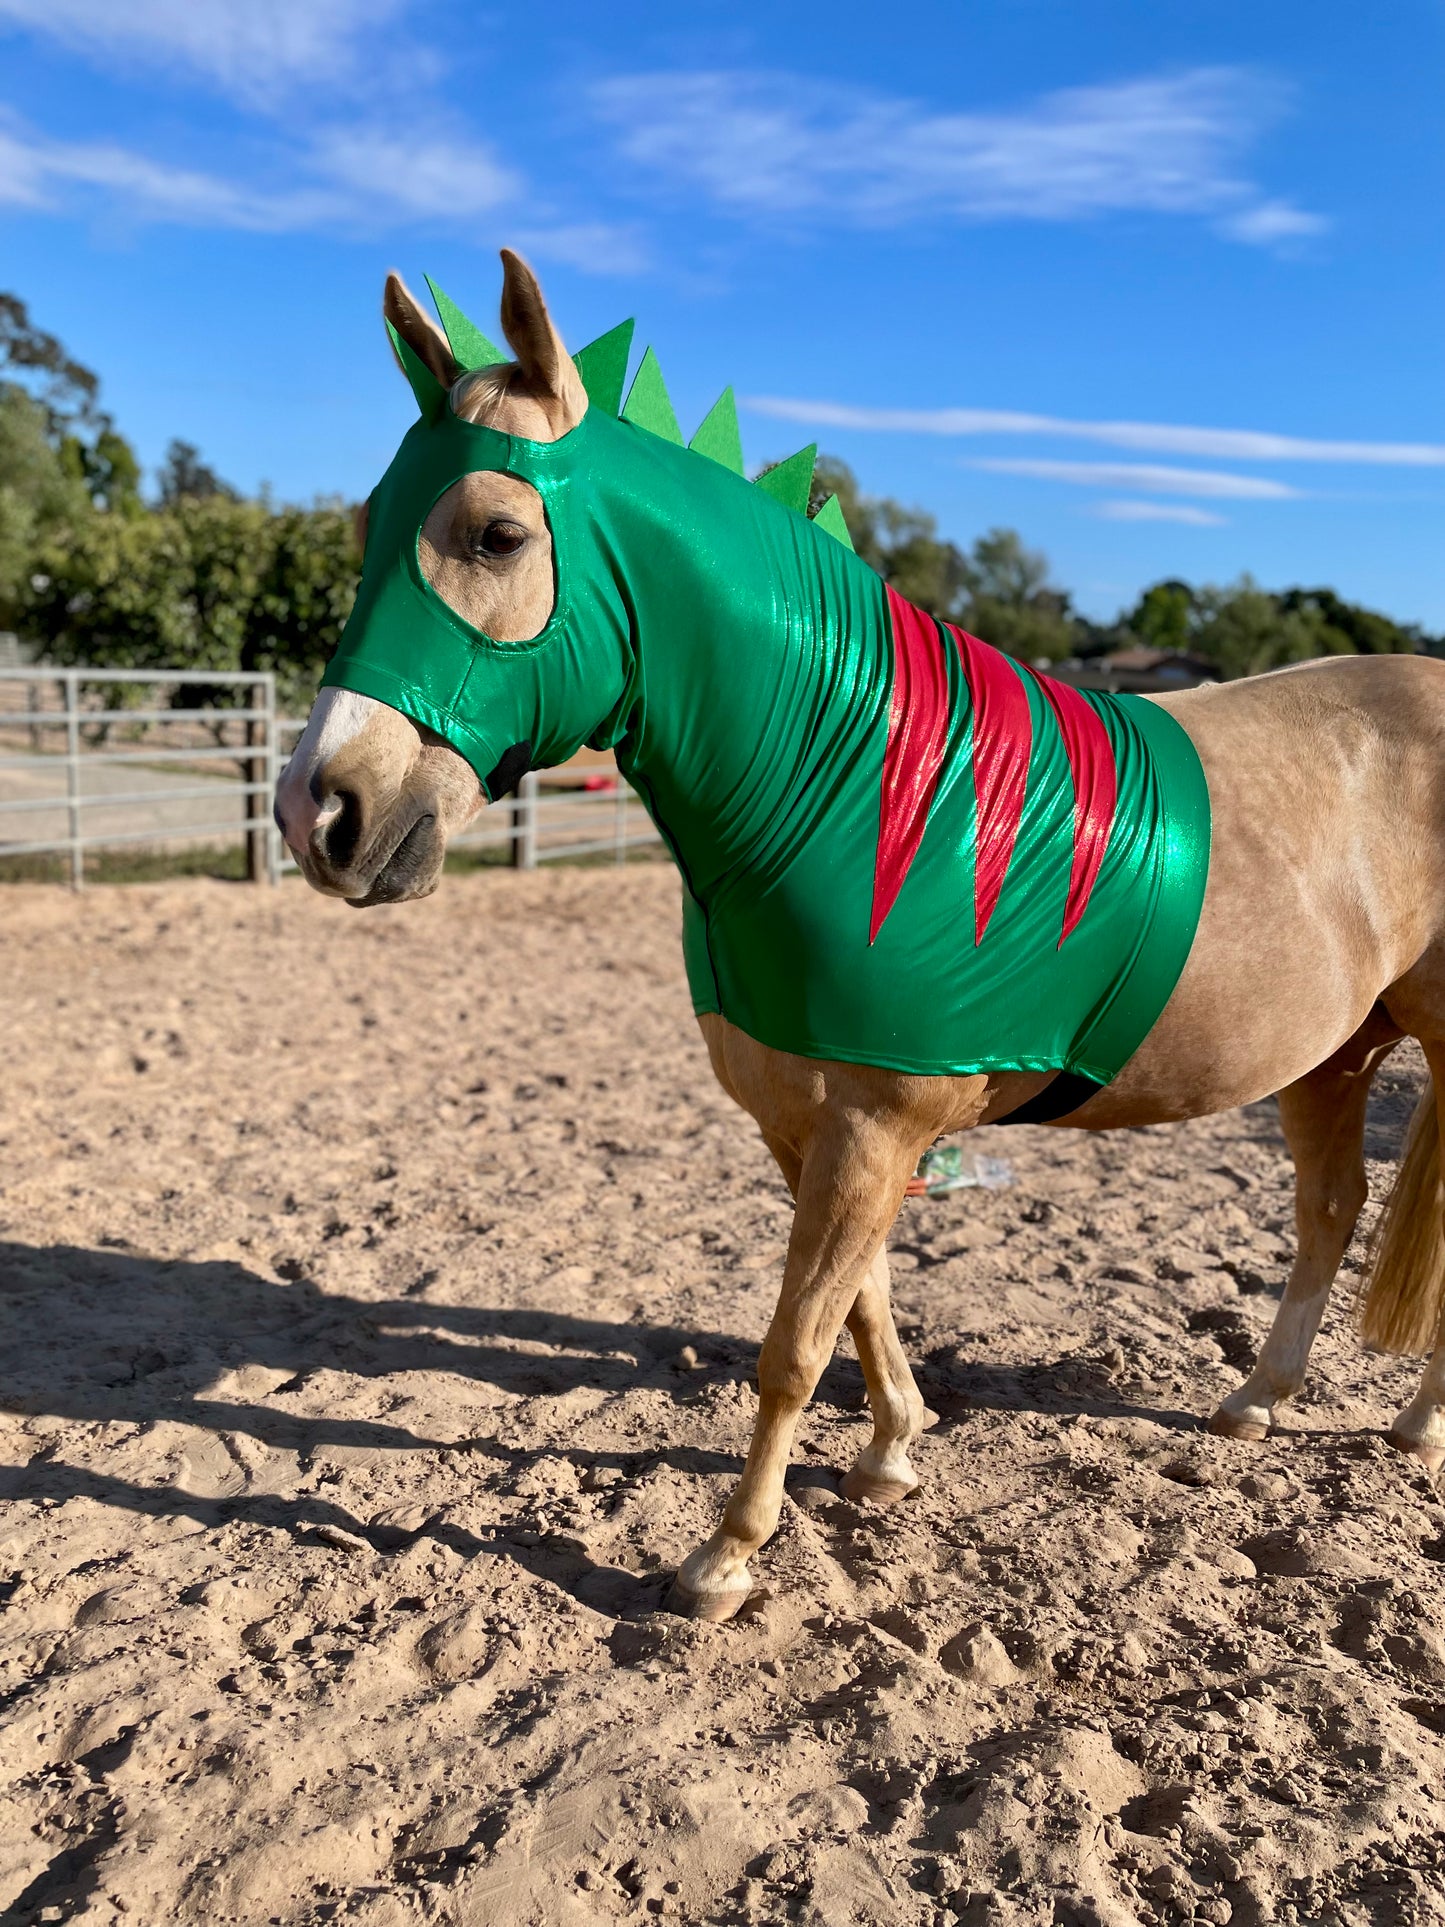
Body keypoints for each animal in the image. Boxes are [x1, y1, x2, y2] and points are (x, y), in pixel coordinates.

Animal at [275, 249, 1445, 1623]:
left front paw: (724, 1555)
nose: (320, 811)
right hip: (1333, 1050)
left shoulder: (876, 1123)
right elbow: (860, 1306)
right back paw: (1255, 1401)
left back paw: (1415, 1424)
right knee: (1327, 1208)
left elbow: (791, 1343)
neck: (850, 793)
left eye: (497, 534)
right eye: (367, 530)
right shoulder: (809, 1122)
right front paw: (889, 1452)